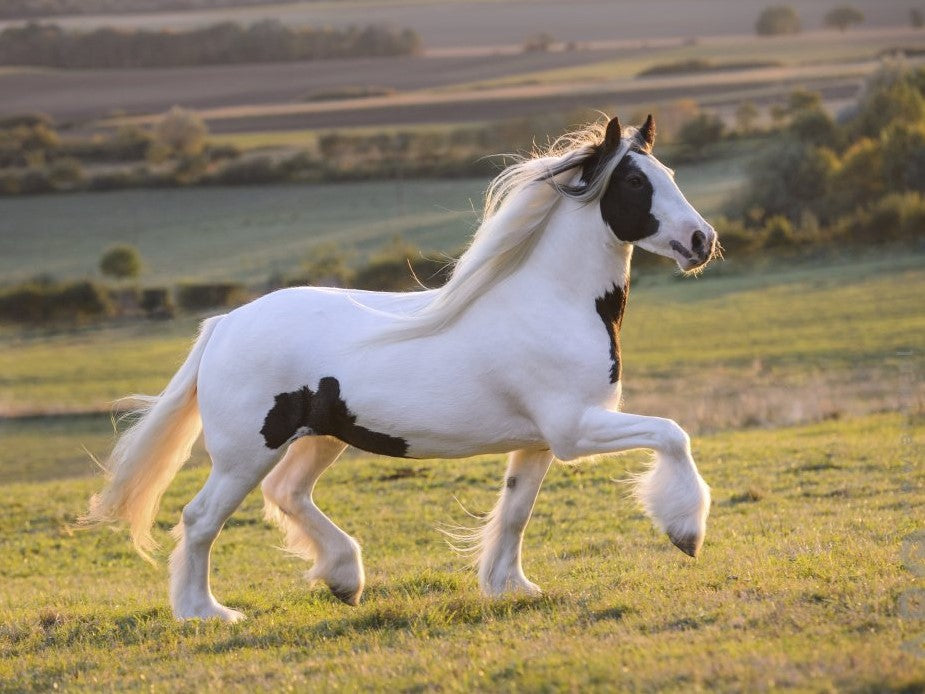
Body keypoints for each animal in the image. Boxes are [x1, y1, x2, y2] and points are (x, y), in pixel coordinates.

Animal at [82, 115, 718, 621]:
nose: (701, 240)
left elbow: (515, 513)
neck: (553, 301)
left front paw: (510, 587)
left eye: (669, 174)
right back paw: (206, 613)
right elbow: (673, 434)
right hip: (246, 452)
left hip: (321, 437)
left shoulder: (537, 442)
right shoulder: (575, 430)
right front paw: (685, 533)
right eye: (635, 182)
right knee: (200, 518)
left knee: (287, 494)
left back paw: (344, 579)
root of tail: (225, 324)